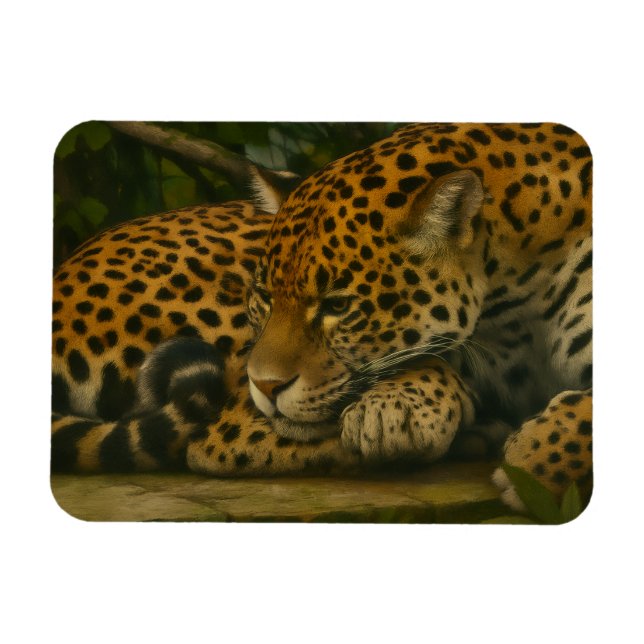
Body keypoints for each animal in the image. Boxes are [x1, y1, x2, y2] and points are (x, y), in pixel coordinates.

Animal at [52, 122, 592, 513]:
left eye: (336, 305)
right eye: (264, 295)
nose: (266, 386)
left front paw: (537, 460)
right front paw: (402, 409)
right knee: (223, 439)